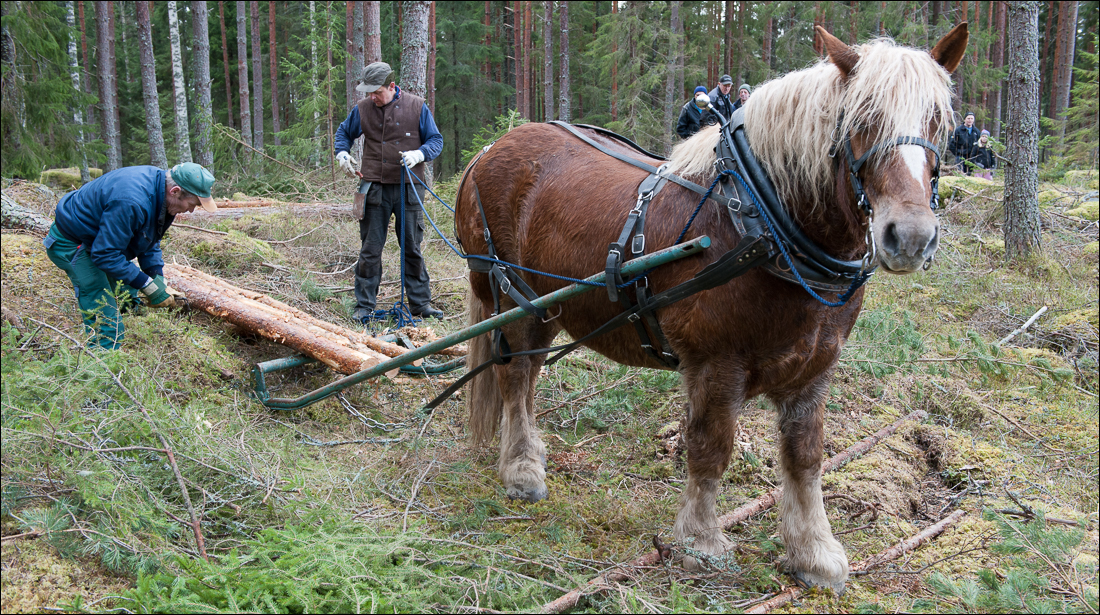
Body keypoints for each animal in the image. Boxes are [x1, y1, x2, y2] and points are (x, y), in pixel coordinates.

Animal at [451, 25, 968, 594]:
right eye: (861, 119)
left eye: (939, 121)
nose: (911, 236)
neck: (760, 219)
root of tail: (487, 150)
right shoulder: (717, 364)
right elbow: (710, 449)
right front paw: (699, 543)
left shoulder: (815, 367)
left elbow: (806, 456)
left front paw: (813, 552)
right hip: (506, 296)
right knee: (514, 377)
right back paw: (522, 471)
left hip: (544, 308)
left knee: (526, 376)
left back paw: (526, 454)